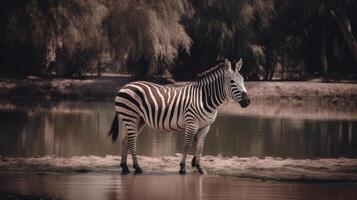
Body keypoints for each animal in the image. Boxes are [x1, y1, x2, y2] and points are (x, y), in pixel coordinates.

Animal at [108, 58, 250, 174]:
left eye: (243, 80)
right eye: (232, 81)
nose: (247, 101)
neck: (203, 98)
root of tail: (126, 86)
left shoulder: (205, 126)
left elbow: (200, 147)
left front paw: (200, 168)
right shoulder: (191, 123)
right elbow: (187, 145)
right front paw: (182, 168)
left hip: (138, 119)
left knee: (125, 140)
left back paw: (125, 167)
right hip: (130, 116)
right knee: (132, 141)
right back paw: (137, 168)